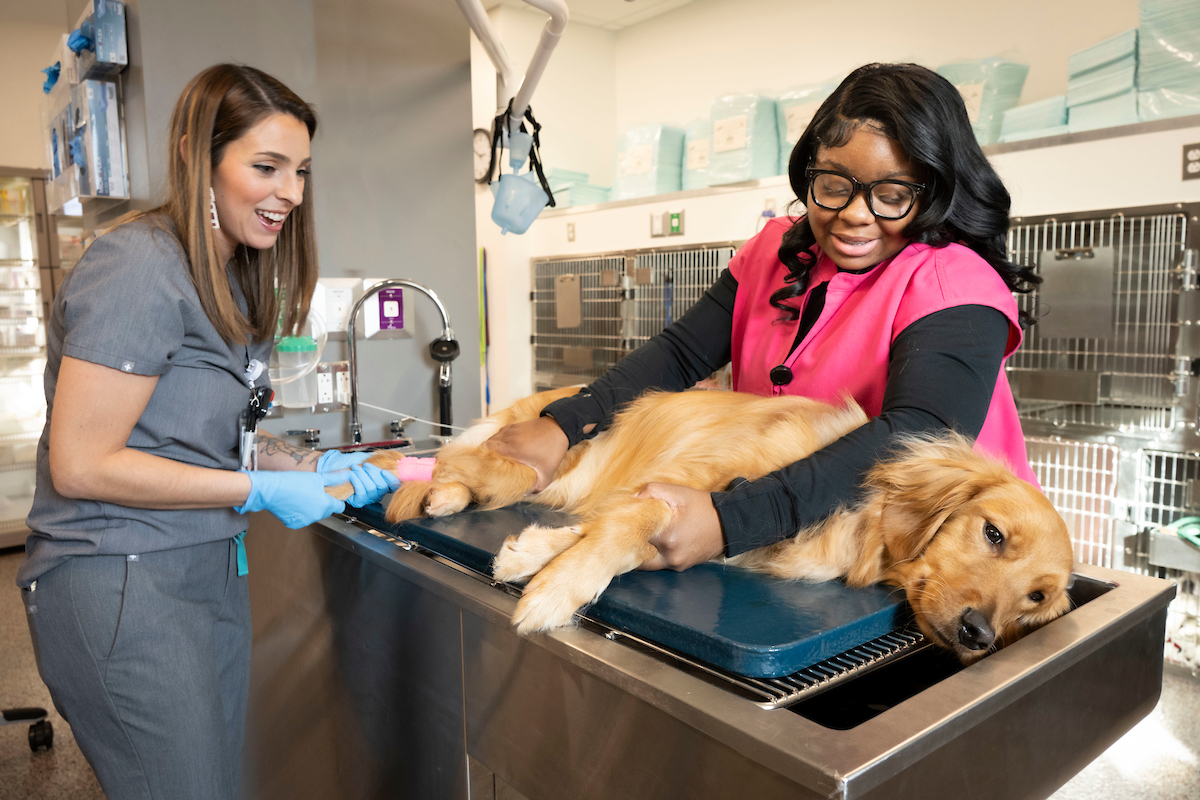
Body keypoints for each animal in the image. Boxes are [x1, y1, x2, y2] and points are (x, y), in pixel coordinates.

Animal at [372, 388, 1070, 662]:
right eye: (993, 533)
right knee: (430, 461)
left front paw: (535, 554)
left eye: (1036, 598)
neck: (859, 520)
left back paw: (441, 498)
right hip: (515, 468)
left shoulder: (679, 513)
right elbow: (620, 532)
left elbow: (606, 530)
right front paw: (555, 591)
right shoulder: (687, 488)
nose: (979, 633)